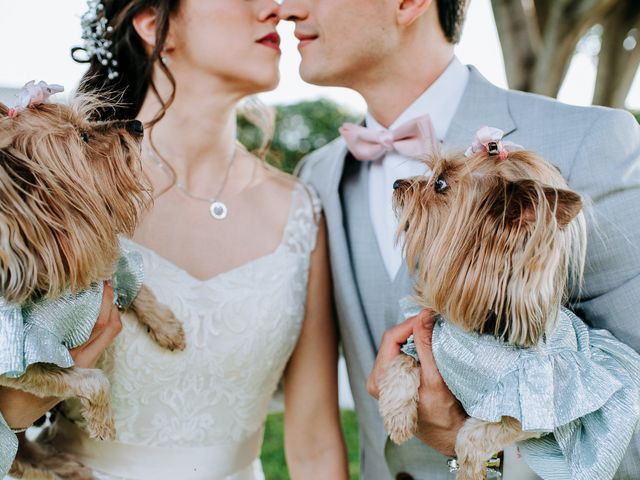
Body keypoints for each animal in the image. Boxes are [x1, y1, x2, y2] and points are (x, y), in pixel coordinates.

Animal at [0, 88, 185, 478]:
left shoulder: (98, 274)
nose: (136, 124)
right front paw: (103, 422)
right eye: (84, 138)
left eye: (86, 122)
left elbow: (132, 283)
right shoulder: (20, 365)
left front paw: (166, 326)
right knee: (18, 455)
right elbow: (91, 378)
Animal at [378, 141, 588, 478]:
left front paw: (469, 469)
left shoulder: (533, 408)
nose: (398, 183)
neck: (475, 335)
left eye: (440, 184)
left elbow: (475, 435)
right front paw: (397, 417)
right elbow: (401, 362)